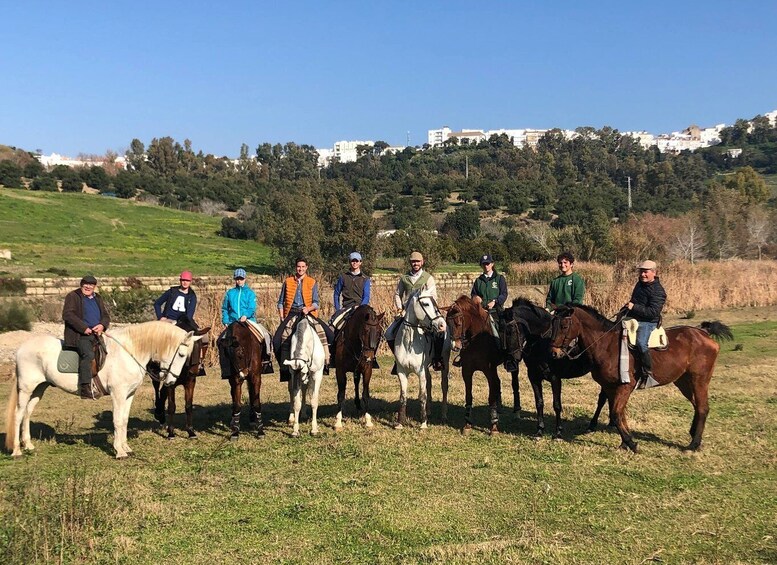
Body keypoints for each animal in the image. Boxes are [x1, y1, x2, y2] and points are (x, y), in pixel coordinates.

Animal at [4, 322, 203, 458]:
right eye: (181, 354)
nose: (171, 381)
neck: (129, 352)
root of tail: (21, 348)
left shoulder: (129, 395)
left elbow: (124, 420)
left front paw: (126, 447)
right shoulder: (118, 394)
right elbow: (117, 421)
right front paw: (119, 451)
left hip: (39, 388)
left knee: (28, 413)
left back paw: (28, 445)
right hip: (26, 388)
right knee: (19, 414)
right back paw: (17, 450)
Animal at [394, 290, 448, 428]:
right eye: (425, 303)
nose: (442, 325)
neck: (408, 342)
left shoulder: (420, 372)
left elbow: (422, 396)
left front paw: (423, 423)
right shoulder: (401, 372)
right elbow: (403, 396)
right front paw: (400, 422)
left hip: (445, 363)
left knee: (444, 386)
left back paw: (443, 415)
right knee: (429, 383)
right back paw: (428, 411)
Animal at [442, 294, 516, 434]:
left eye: (459, 323)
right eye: (447, 323)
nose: (455, 346)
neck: (477, 340)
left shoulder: (489, 371)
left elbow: (491, 397)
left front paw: (494, 427)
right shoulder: (467, 371)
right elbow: (468, 396)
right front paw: (467, 424)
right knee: (498, 383)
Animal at [498, 298, 612, 438]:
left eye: (510, 331)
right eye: (499, 331)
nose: (510, 363)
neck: (541, 343)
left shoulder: (555, 378)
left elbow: (557, 405)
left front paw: (558, 432)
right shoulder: (533, 376)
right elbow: (539, 402)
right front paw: (539, 430)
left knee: (603, 398)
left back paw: (593, 425)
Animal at [548, 302, 732, 452]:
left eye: (564, 325)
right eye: (552, 324)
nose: (553, 353)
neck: (607, 345)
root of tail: (704, 334)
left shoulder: (625, 387)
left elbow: (616, 413)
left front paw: (631, 443)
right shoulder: (610, 387)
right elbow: (618, 413)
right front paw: (625, 442)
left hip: (699, 380)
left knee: (702, 408)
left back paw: (694, 444)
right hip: (683, 382)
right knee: (696, 405)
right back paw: (694, 435)